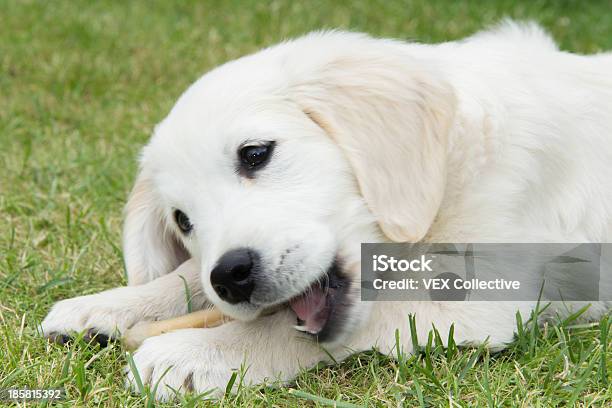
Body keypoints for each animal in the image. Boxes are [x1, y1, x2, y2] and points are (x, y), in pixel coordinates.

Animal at [40, 21, 608, 398]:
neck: (450, 168)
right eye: (183, 221)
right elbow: (185, 277)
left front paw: (196, 354)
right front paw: (109, 306)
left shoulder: (474, 298)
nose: (231, 277)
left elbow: (291, 329)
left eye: (255, 153)